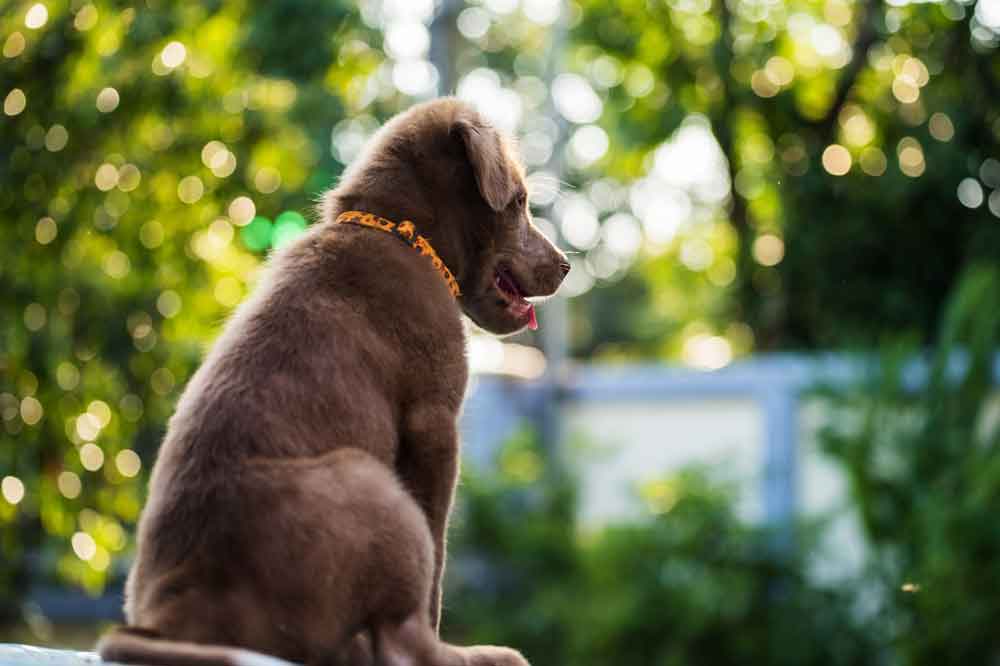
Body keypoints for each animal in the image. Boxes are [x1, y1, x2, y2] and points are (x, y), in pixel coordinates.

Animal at [99, 94, 572, 664]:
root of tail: (172, 616)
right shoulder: (434, 428)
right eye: (519, 200)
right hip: (371, 485)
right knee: (402, 640)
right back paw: (482, 655)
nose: (566, 266)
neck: (399, 230)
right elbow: (438, 566)